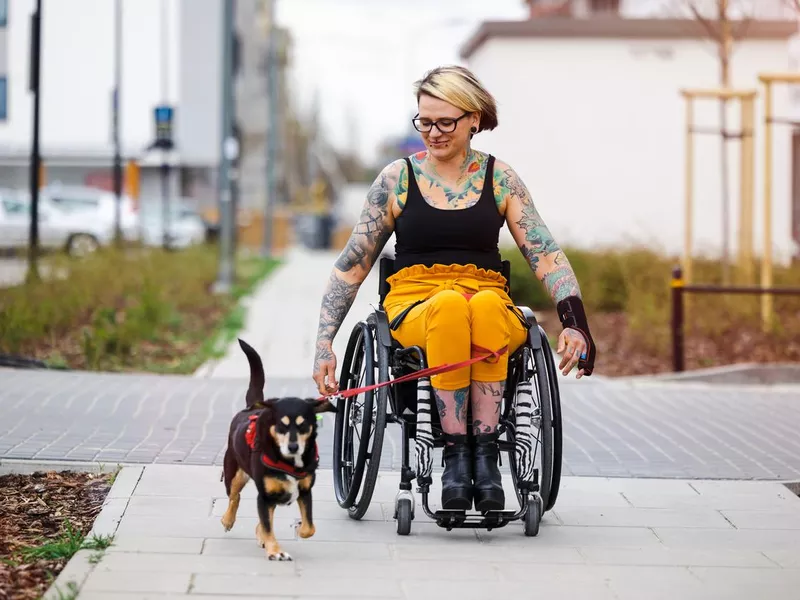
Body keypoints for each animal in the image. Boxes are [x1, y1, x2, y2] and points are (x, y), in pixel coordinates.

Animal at [219, 340, 334, 560]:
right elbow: (267, 525)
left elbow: (309, 527)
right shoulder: (264, 496)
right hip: (234, 472)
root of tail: (253, 407)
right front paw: (275, 551)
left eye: (303, 425)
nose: (293, 446)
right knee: (234, 497)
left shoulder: (305, 492)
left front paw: (297, 530)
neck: (290, 462)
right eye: (282, 425)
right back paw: (228, 519)